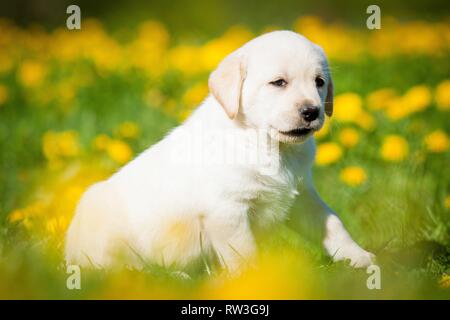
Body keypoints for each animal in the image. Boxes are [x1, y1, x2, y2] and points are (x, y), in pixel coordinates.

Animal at [65, 30, 374, 270]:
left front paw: (359, 257)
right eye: (279, 82)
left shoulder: (303, 197)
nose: (312, 111)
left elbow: (332, 224)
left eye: (319, 82)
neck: (266, 145)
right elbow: (245, 255)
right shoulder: (227, 211)